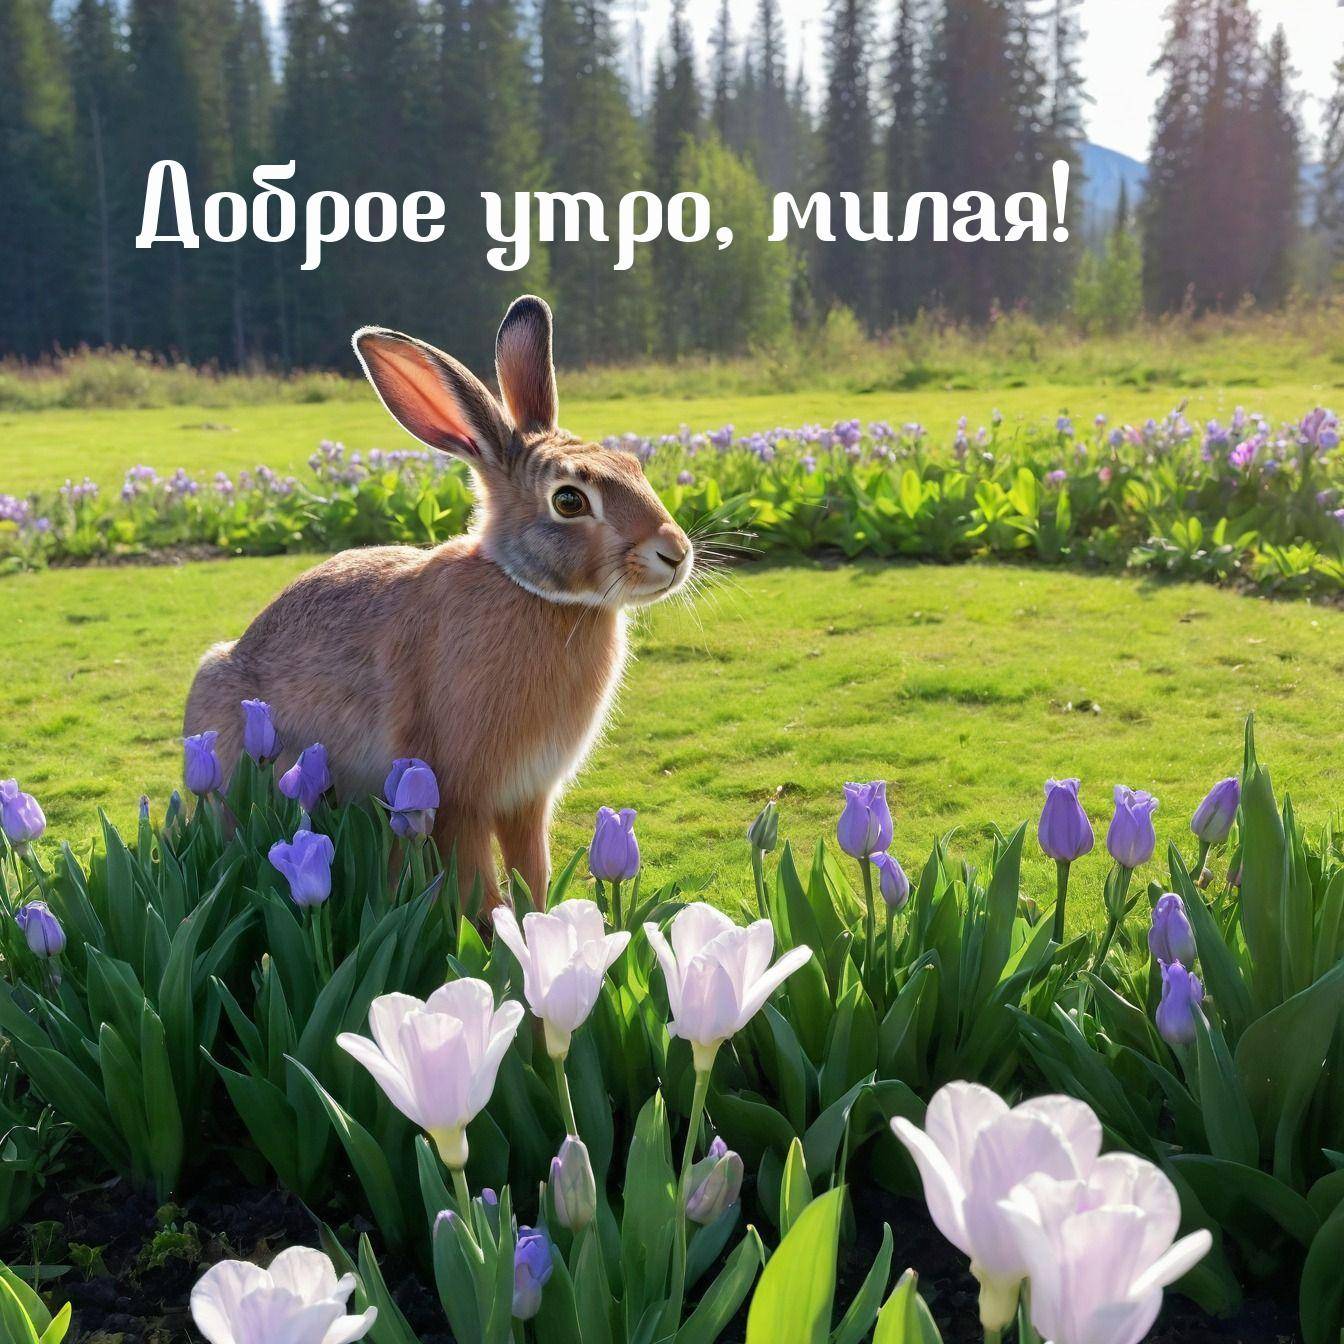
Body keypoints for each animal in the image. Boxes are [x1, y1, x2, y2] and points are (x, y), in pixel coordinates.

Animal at [183, 295, 693, 908]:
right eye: (569, 500)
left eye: (635, 466)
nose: (676, 553)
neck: (530, 589)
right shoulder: (457, 797)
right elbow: (478, 892)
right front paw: (500, 934)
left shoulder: (526, 799)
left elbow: (532, 873)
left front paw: (542, 921)